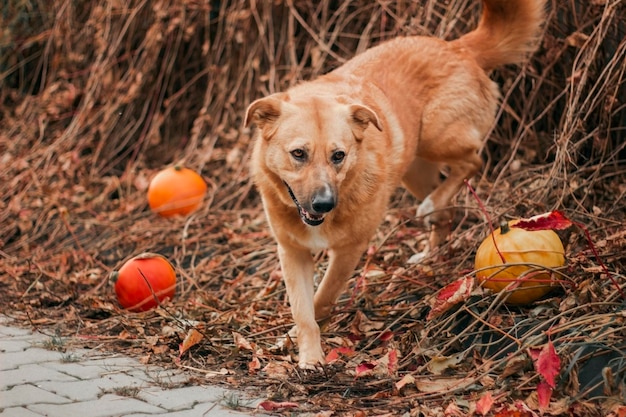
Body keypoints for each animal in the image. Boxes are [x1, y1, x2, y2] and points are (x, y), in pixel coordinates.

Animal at [244, 0, 540, 368]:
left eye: (339, 156)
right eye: (298, 153)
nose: (324, 204)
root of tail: (456, 47)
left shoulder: (349, 250)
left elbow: (322, 299)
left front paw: (311, 347)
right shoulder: (292, 251)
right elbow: (303, 312)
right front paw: (306, 353)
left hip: (436, 137)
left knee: (473, 162)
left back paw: (433, 206)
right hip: (415, 169)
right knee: (446, 209)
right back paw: (431, 249)